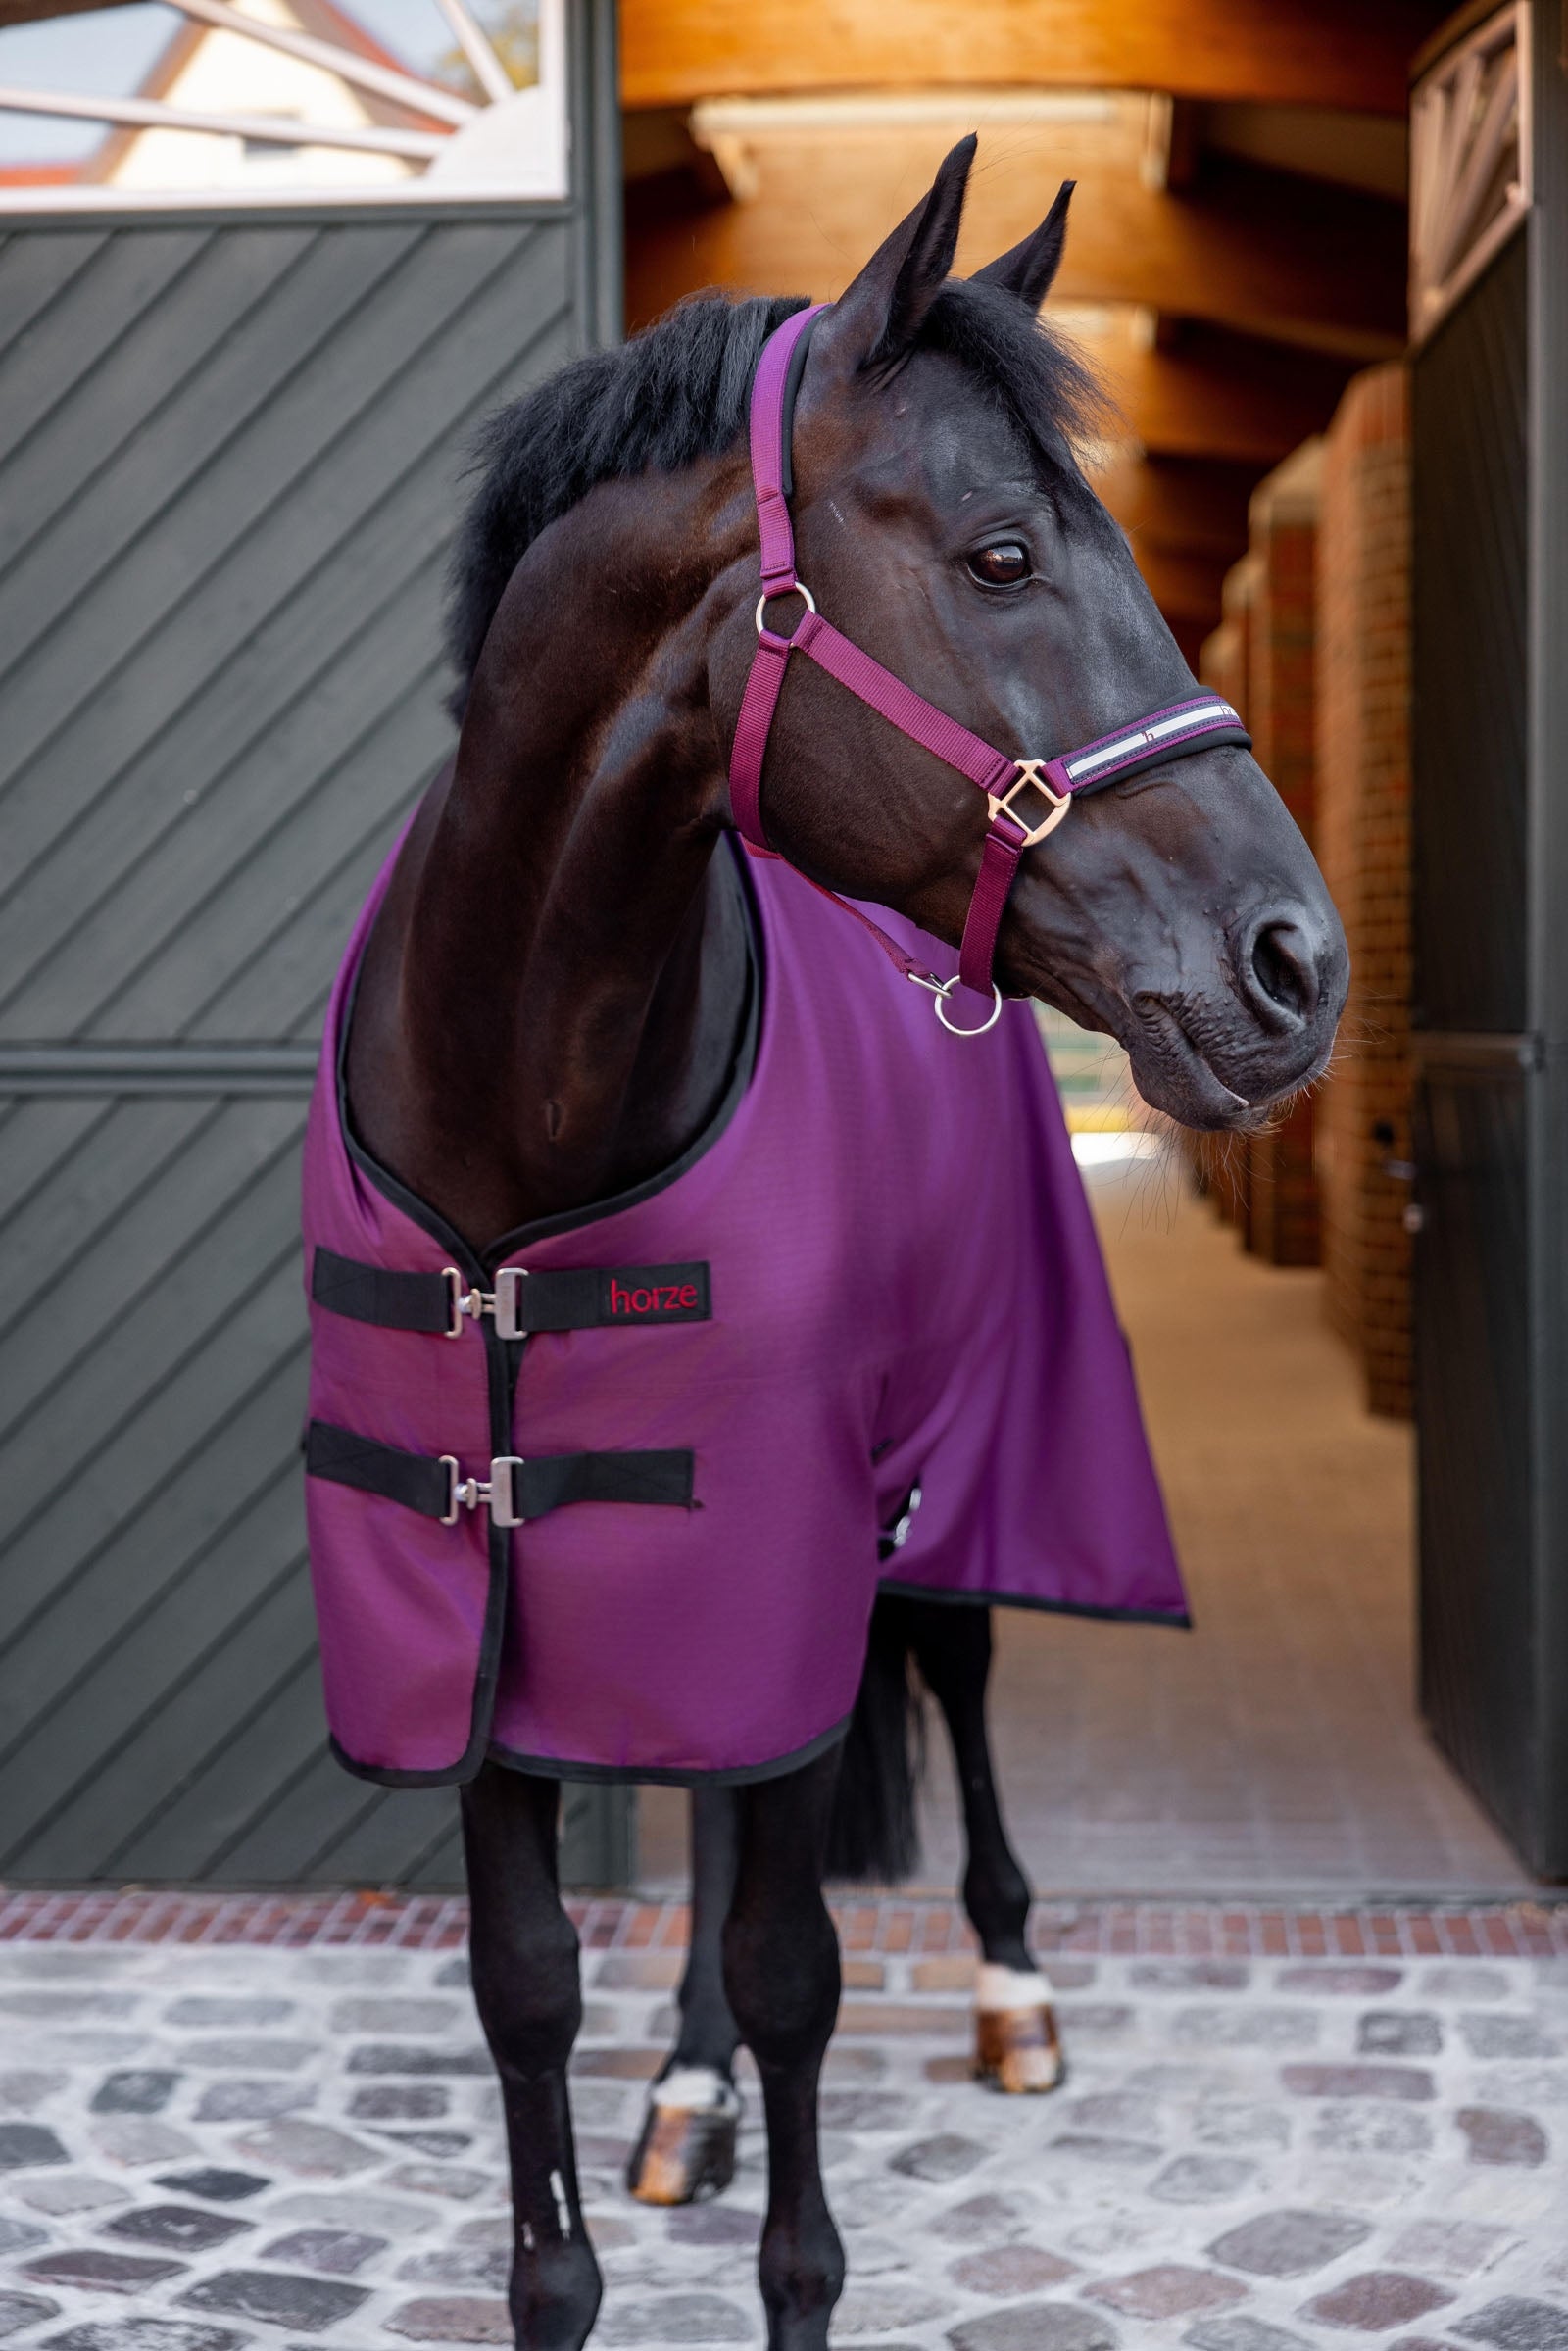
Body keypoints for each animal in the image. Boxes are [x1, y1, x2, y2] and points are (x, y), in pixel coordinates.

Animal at [305, 136, 1347, 2351]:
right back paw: (684, 2089)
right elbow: (532, 1993)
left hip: (942, 1482)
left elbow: (799, 1975)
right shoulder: (492, 1619)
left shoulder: (791, 1528)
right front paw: (609, 2183)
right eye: (1001, 556)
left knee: (954, 1675)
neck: (524, 1104)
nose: (1295, 966)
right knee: (709, 1810)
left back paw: (1014, 1991)